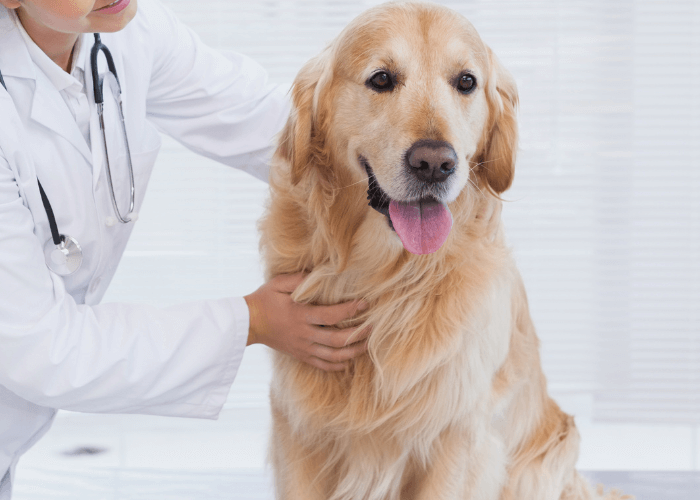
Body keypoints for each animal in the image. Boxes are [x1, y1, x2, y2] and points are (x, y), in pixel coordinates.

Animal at [260, 1, 632, 498]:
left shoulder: (457, 437)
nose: (435, 163)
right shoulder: (299, 428)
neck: (387, 280)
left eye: (466, 82)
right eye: (381, 78)